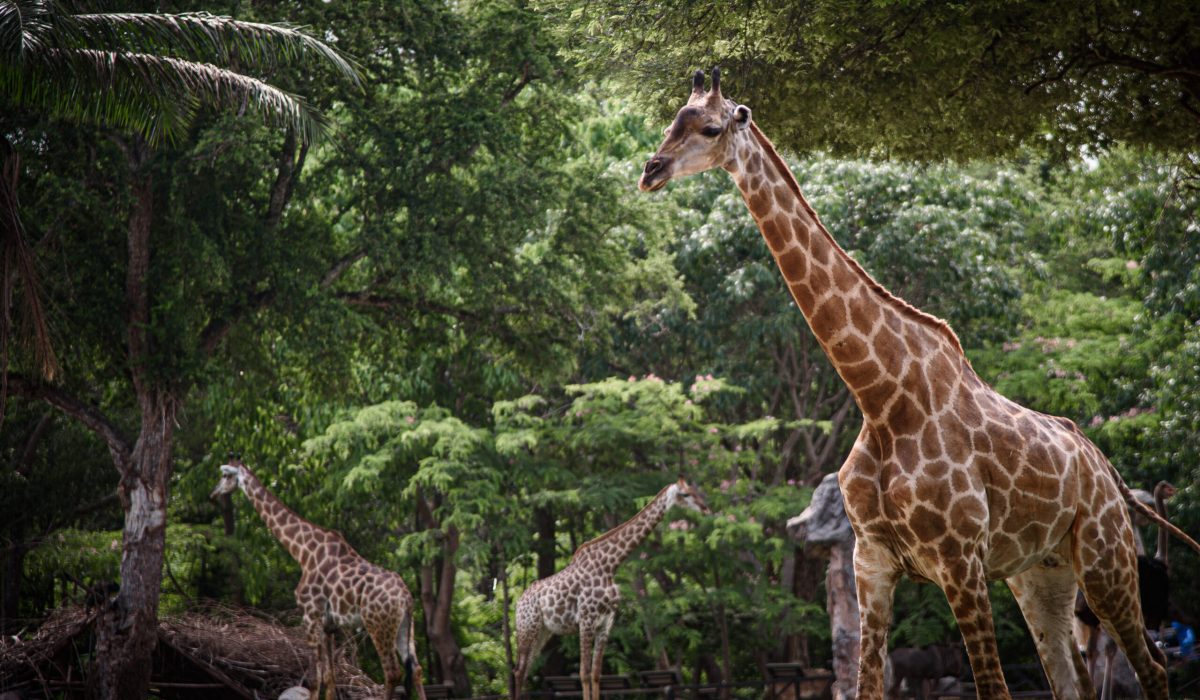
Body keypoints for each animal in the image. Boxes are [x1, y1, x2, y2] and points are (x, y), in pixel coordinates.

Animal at [211, 456, 426, 700]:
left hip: (378, 625)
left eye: (225, 475)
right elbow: (329, 679)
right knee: (416, 669)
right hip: (405, 626)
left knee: (392, 672)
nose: (213, 494)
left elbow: (315, 679)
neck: (303, 552)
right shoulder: (328, 625)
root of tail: (406, 598)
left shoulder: (310, 615)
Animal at [513, 478, 710, 700]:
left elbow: (596, 674)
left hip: (543, 631)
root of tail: (519, 602)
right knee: (519, 671)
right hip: (527, 628)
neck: (609, 565)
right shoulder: (586, 620)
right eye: (685, 494)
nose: (705, 508)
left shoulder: (605, 623)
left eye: (695, 491)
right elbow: (583, 673)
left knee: (525, 669)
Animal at [638, 68, 1200, 700]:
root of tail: (1105, 468)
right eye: (672, 121)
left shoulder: (960, 561)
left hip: (1105, 558)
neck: (881, 397)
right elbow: (866, 685)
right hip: (1041, 572)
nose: (651, 170)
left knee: (1151, 665)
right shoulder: (872, 562)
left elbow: (993, 688)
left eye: (710, 128)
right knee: (1069, 676)